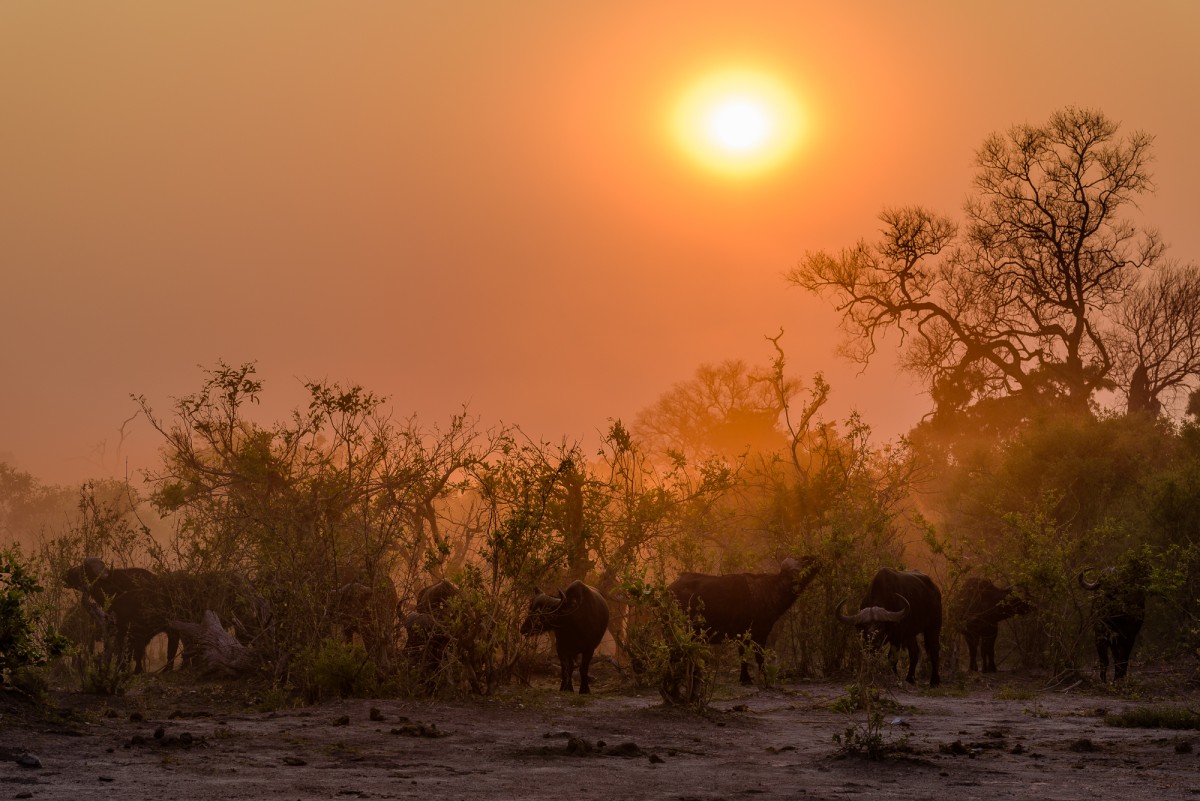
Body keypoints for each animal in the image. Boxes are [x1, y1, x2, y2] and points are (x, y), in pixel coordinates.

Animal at [667, 556, 825, 681]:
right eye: (803, 562)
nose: (815, 558)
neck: (764, 592)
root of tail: (669, 589)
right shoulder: (752, 634)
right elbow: (753, 657)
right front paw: (751, 678)